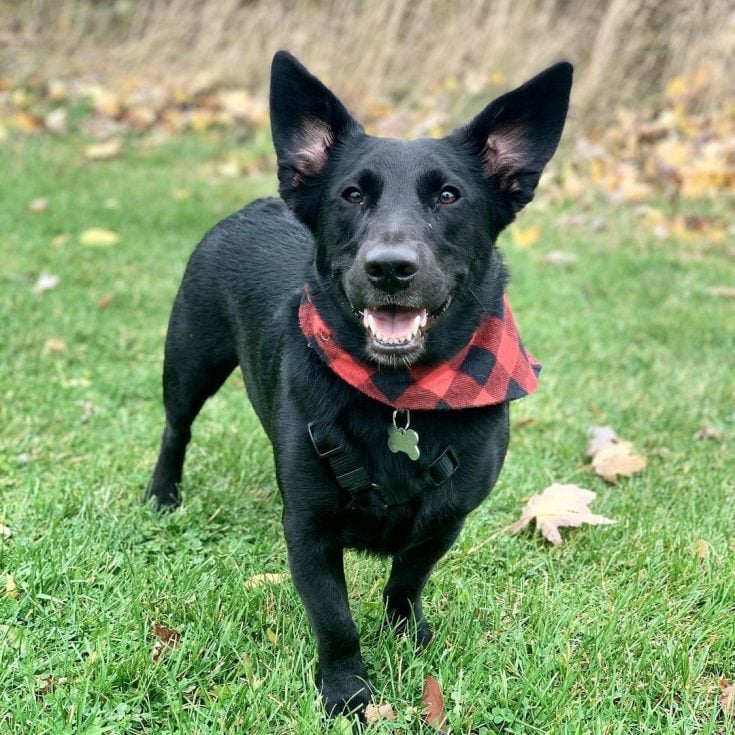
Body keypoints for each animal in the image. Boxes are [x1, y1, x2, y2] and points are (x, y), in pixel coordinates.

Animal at [147, 53, 572, 720]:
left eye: (449, 195)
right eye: (351, 194)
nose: (390, 267)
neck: (401, 396)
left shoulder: (446, 519)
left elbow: (407, 578)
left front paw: (406, 633)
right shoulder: (310, 531)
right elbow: (335, 619)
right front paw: (347, 688)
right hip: (189, 362)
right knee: (176, 429)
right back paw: (163, 494)